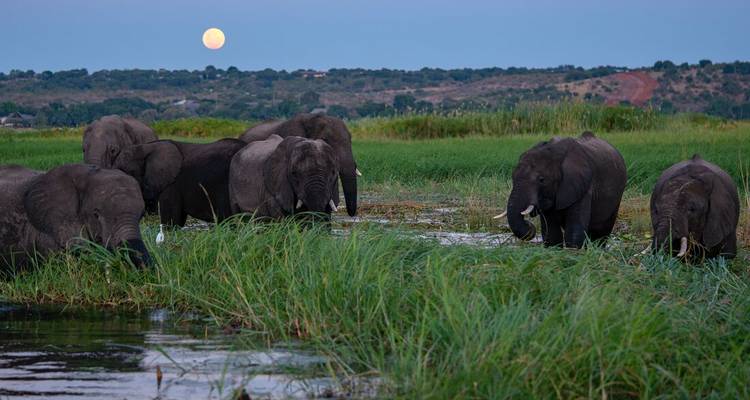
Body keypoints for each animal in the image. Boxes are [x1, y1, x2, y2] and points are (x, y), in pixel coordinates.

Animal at [497, 131, 627, 248]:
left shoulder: (583, 188)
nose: (529, 225)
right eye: (513, 176)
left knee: (601, 232)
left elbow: (574, 230)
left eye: (541, 180)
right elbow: (551, 233)